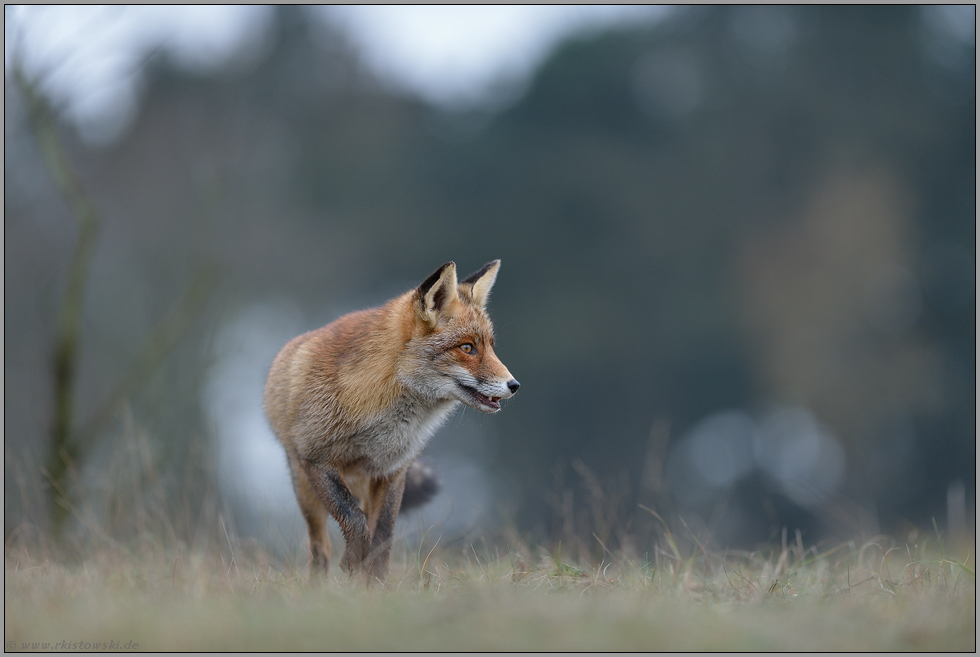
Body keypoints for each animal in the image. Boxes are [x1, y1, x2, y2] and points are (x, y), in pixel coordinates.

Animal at [260, 262, 520, 580]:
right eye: (467, 348)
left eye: (491, 347)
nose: (514, 385)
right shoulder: (316, 458)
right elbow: (354, 520)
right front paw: (353, 562)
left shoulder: (392, 471)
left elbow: (382, 540)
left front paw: (374, 586)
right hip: (304, 487)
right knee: (319, 548)